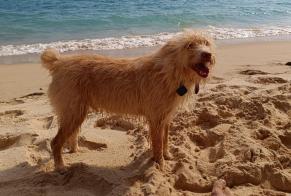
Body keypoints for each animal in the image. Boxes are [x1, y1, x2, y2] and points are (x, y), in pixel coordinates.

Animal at [41, 30, 217, 170]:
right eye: (189, 45)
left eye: (206, 43)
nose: (208, 54)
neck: (169, 71)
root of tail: (59, 62)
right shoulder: (156, 119)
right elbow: (158, 143)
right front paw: (160, 163)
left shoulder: (165, 118)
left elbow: (165, 140)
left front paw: (167, 156)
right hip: (73, 112)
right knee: (55, 142)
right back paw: (60, 166)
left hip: (75, 113)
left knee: (70, 135)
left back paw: (75, 151)